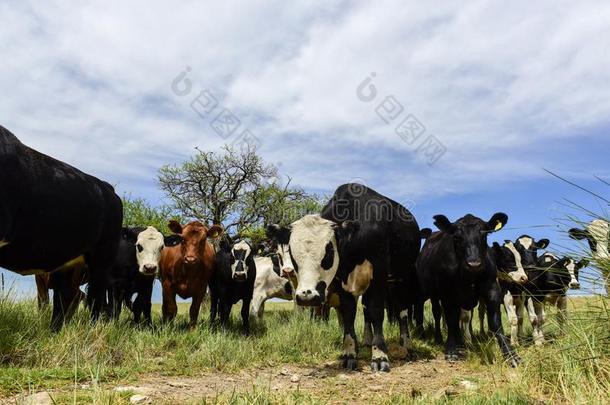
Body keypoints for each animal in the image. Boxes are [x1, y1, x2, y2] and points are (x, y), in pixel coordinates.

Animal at [268, 185, 420, 370]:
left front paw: (379, 355)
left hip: (401, 278)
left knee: (402, 310)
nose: (306, 296)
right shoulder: (341, 282)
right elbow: (348, 313)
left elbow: (376, 311)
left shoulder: (379, 275)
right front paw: (349, 353)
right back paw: (368, 341)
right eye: (292, 252)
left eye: (329, 252)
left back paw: (406, 345)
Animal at [416, 213, 520, 364]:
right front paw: (451, 350)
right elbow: (451, 320)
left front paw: (510, 354)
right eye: (456, 237)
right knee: (435, 313)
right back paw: (436, 338)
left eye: (484, 235)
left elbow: (495, 322)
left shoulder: (492, 289)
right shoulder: (447, 294)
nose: (474, 264)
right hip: (431, 293)